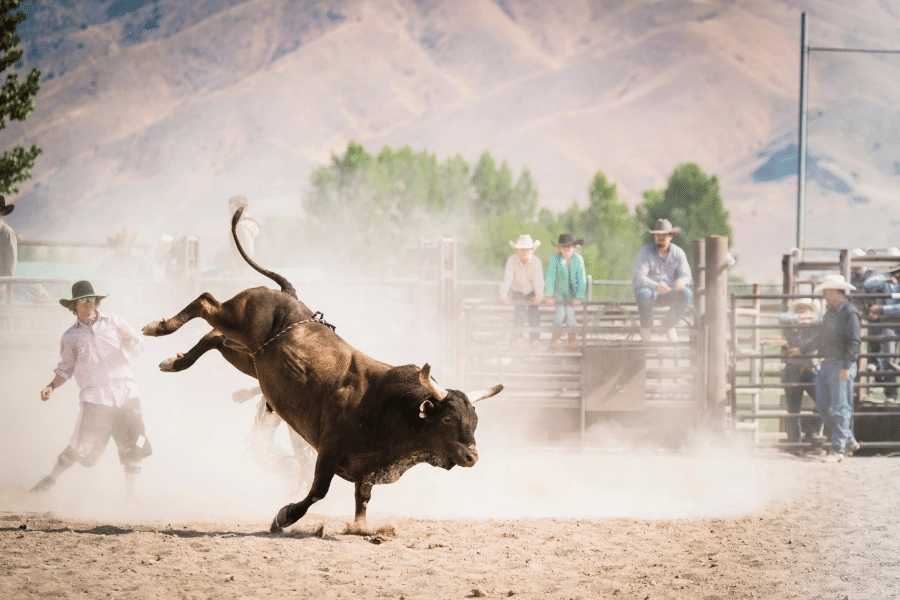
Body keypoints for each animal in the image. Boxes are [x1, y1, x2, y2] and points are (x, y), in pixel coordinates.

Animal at [144, 209, 502, 532]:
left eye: (475, 422)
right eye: (448, 420)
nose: (472, 456)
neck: (389, 409)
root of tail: (288, 296)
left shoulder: (366, 471)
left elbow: (362, 499)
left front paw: (361, 527)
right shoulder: (329, 451)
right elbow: (318, 491)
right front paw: (284, 516)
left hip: (248, 357)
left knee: (213, 338)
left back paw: (175, 361)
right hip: (237, 318)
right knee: (205, 302)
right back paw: (159, 328)